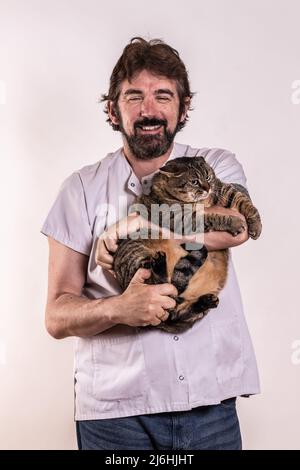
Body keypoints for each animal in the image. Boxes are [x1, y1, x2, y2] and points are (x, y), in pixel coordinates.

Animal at [111, 156, 262, 332]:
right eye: (194, 181)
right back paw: (160, 264)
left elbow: (242, 199)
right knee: (161, 287)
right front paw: (235, 223)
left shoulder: (222, 190)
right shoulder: (181, 217)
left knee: (176, 312)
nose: (207, 188)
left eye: (208, 177)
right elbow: (212, 217)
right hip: (137, 256)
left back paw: (205, 301)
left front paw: (255, 224)